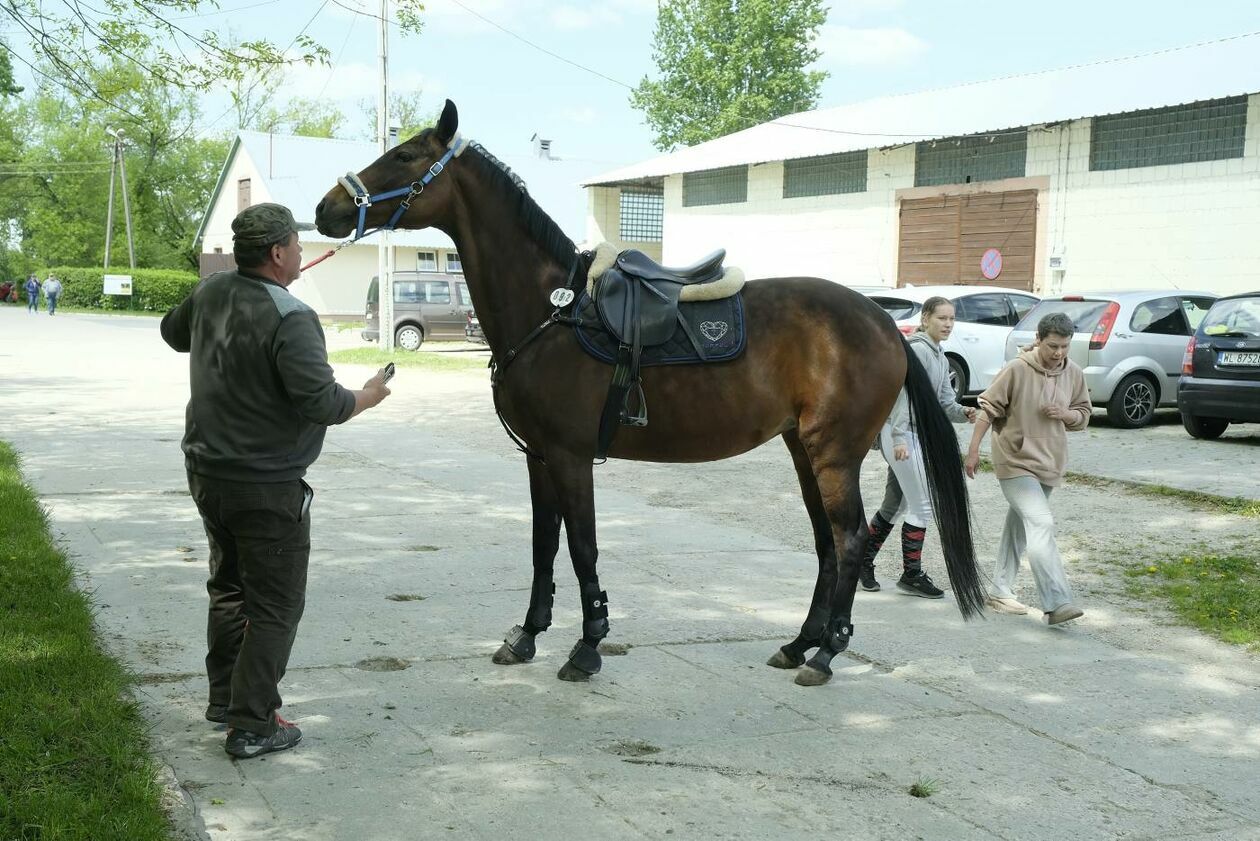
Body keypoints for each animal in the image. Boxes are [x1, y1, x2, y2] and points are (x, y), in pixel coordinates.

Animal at [315, 102, 982, 685]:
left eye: (403, 155)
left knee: (849, 542)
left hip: (833, 455)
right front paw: (527, 634)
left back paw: (825, 654)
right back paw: (799, 644)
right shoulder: (538, 458)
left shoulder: (569, 457)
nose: (326, 208)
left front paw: (587, 646)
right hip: (803, 452)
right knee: (826, 544)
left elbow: (582, 548)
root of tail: (885, 324)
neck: (552, 311)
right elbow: (542, 546)